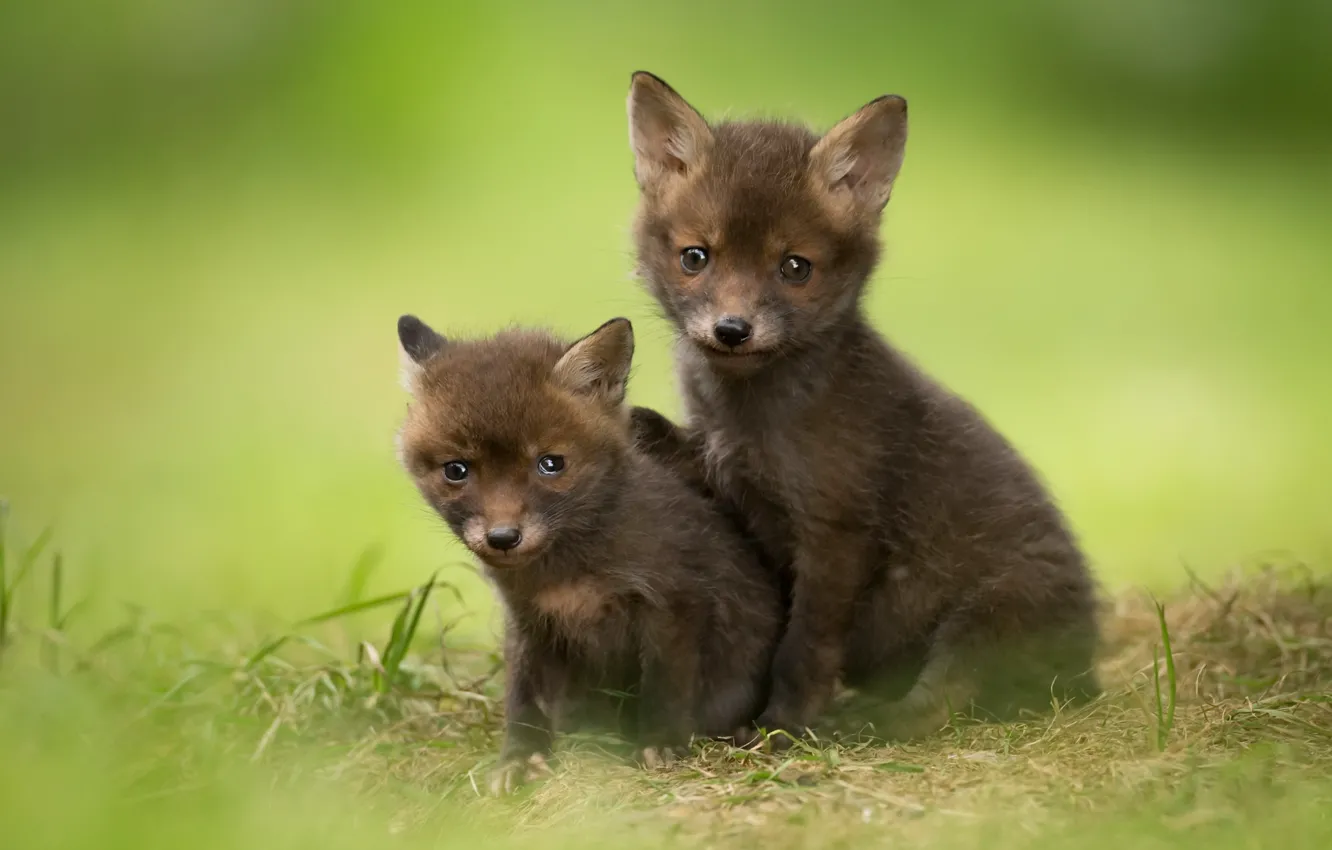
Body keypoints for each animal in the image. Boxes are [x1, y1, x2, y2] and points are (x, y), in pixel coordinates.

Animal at [395, 314, 782, 791]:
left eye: (550, 464)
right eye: (456, 470)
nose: (503, 537)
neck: (568, 573)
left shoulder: (675, 602)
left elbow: (666, 688)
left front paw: (661, 744)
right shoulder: (528, 619)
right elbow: (521, 697)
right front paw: (519, 758)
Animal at [624, 72, 1101, 743]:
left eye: (794, 267)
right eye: (696, 256)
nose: (732, 330)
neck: (750, 419)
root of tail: (1090, 669)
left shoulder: (836, 530)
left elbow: (803, 649)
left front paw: (783, 726)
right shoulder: (739, 491)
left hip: (986, 616)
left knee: (935, 708)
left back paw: (869, 720)